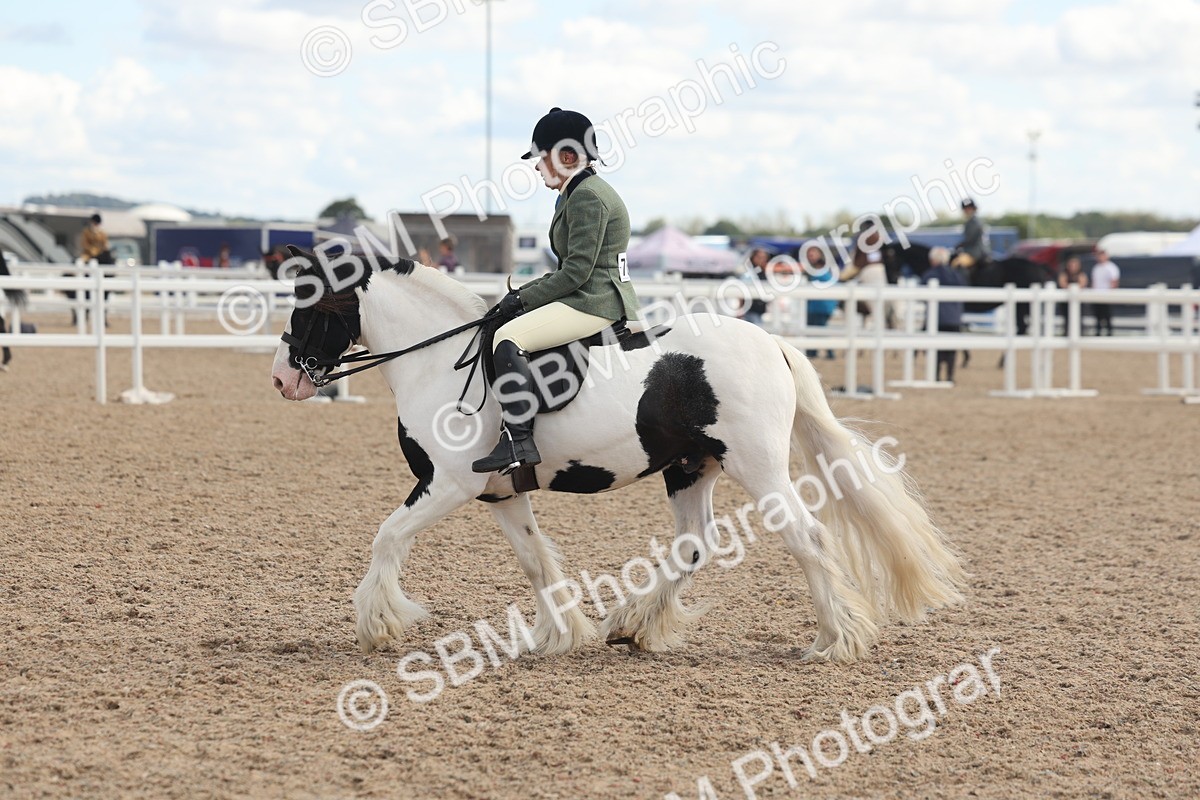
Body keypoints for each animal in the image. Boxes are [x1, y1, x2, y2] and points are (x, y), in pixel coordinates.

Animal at [269, 247, 965, 663]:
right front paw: (559, 635)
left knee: (806, 538)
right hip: (691, 469)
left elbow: (387, 537)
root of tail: (772, 342)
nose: (281, 379)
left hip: (758, 468)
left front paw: (378, 623)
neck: (438, 360)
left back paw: (833, 641)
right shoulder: (500, 493)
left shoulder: (448, 486)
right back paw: (634, 624)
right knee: (695, 544)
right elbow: (535, 561)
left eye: (308, 301)